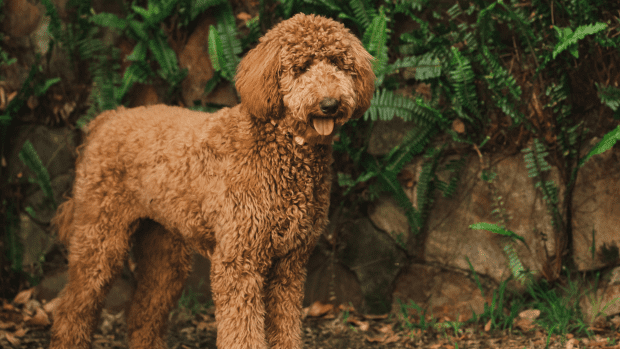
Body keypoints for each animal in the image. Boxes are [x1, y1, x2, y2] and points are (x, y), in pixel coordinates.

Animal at [48, 12, 372, 346]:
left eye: (338, 63)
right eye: (302, 67)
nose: (330, 104)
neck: (283, 147)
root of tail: (107, 118)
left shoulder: (290, 266)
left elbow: (286, 327)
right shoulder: (239, 261)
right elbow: (243, 333)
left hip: (164, 249)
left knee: (142, 312)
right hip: (100, 237)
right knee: (72, 309)